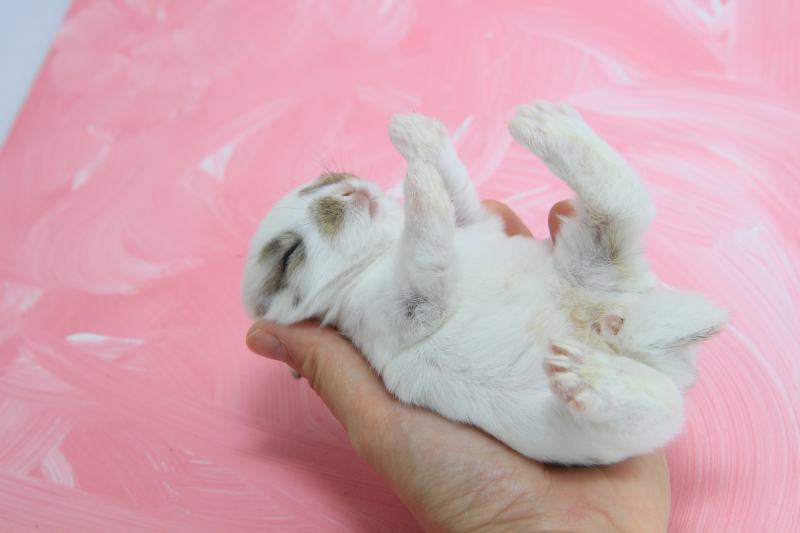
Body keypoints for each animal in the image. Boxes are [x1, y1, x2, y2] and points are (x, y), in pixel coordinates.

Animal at [239, 101, 724, 466]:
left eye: (327, 181)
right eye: (289, 254)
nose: (349, 192)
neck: (383, 250)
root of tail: (629, 334)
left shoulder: (472, 223)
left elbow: (458, 195)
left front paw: (415, 137)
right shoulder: (401, 311)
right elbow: (428, 253)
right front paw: (419, 183)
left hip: (594, 261)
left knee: (617, 198)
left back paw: (546, 123)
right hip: (591, 424)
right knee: (659, 404)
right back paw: (589, 375)